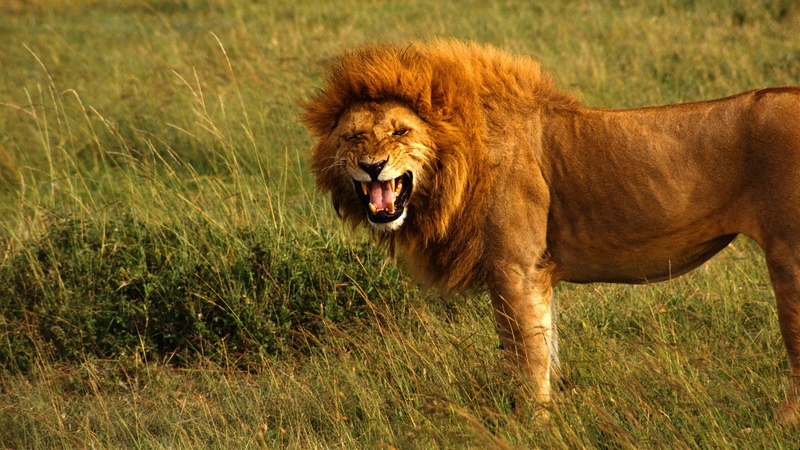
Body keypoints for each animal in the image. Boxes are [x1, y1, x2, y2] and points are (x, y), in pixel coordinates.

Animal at [302, 39, 800, 424]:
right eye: (354, 138)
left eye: (401, 132)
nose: (372, 166)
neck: (456, 164)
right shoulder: (537, 274)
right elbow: (547, 348)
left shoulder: (514, 268)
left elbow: (525, 357)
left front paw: (531, 425)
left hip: (789, 258)